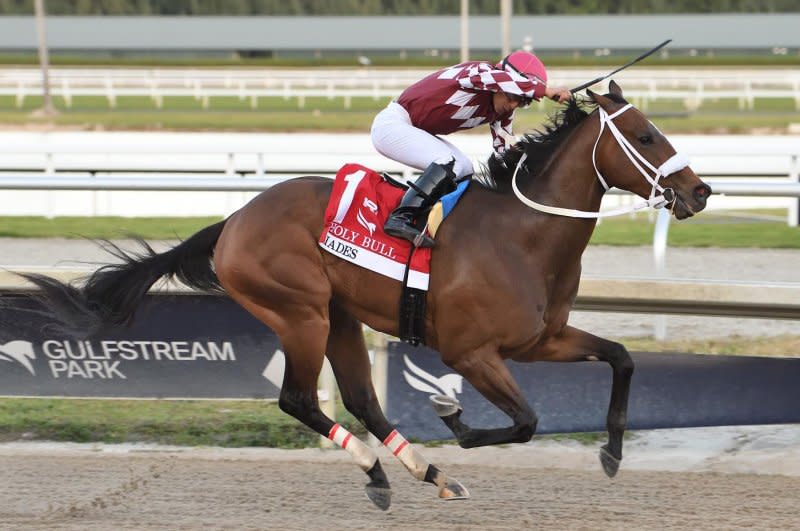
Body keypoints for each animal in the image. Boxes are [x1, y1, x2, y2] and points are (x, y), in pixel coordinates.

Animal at [18, 82, 708, 512]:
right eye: (646, 135)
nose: (699, 192)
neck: (523, 235)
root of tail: (234, 220)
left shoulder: (542, 338)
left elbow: (621, 357)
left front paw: (612, 451)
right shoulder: (470, 353)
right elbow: (526, 422)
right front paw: (455, 420)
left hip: (340, 318)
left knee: (362, 401)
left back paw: (422, 474)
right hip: (299, 313)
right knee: (300, 399)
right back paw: (385, 470)